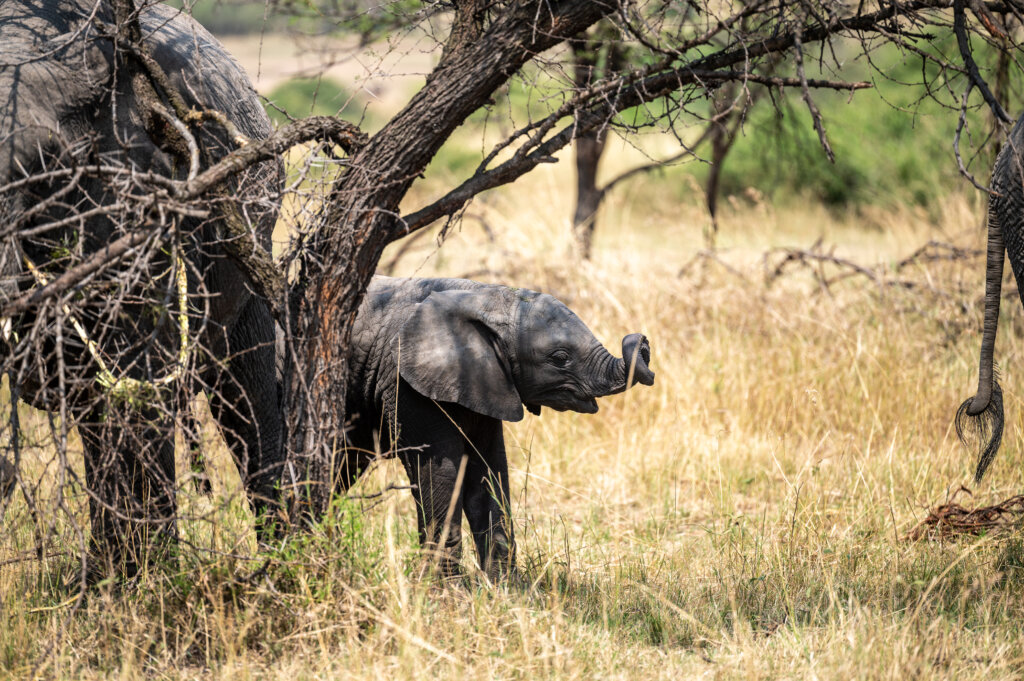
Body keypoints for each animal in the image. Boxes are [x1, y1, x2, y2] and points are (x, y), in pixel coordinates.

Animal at [2, 2, 282, 577]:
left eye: (46, 164)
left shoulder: (140, 190)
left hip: (249, 237)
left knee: (245, 398)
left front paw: (143, 588)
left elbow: (135, 384)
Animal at [339, 274, 651, 577]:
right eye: (560, 358)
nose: (643, 342)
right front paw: (446, 588)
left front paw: (505, 585)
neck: (479, 298)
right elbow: (439, 471)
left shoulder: (486, 383)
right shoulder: (405, 385)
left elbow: (488, 469)